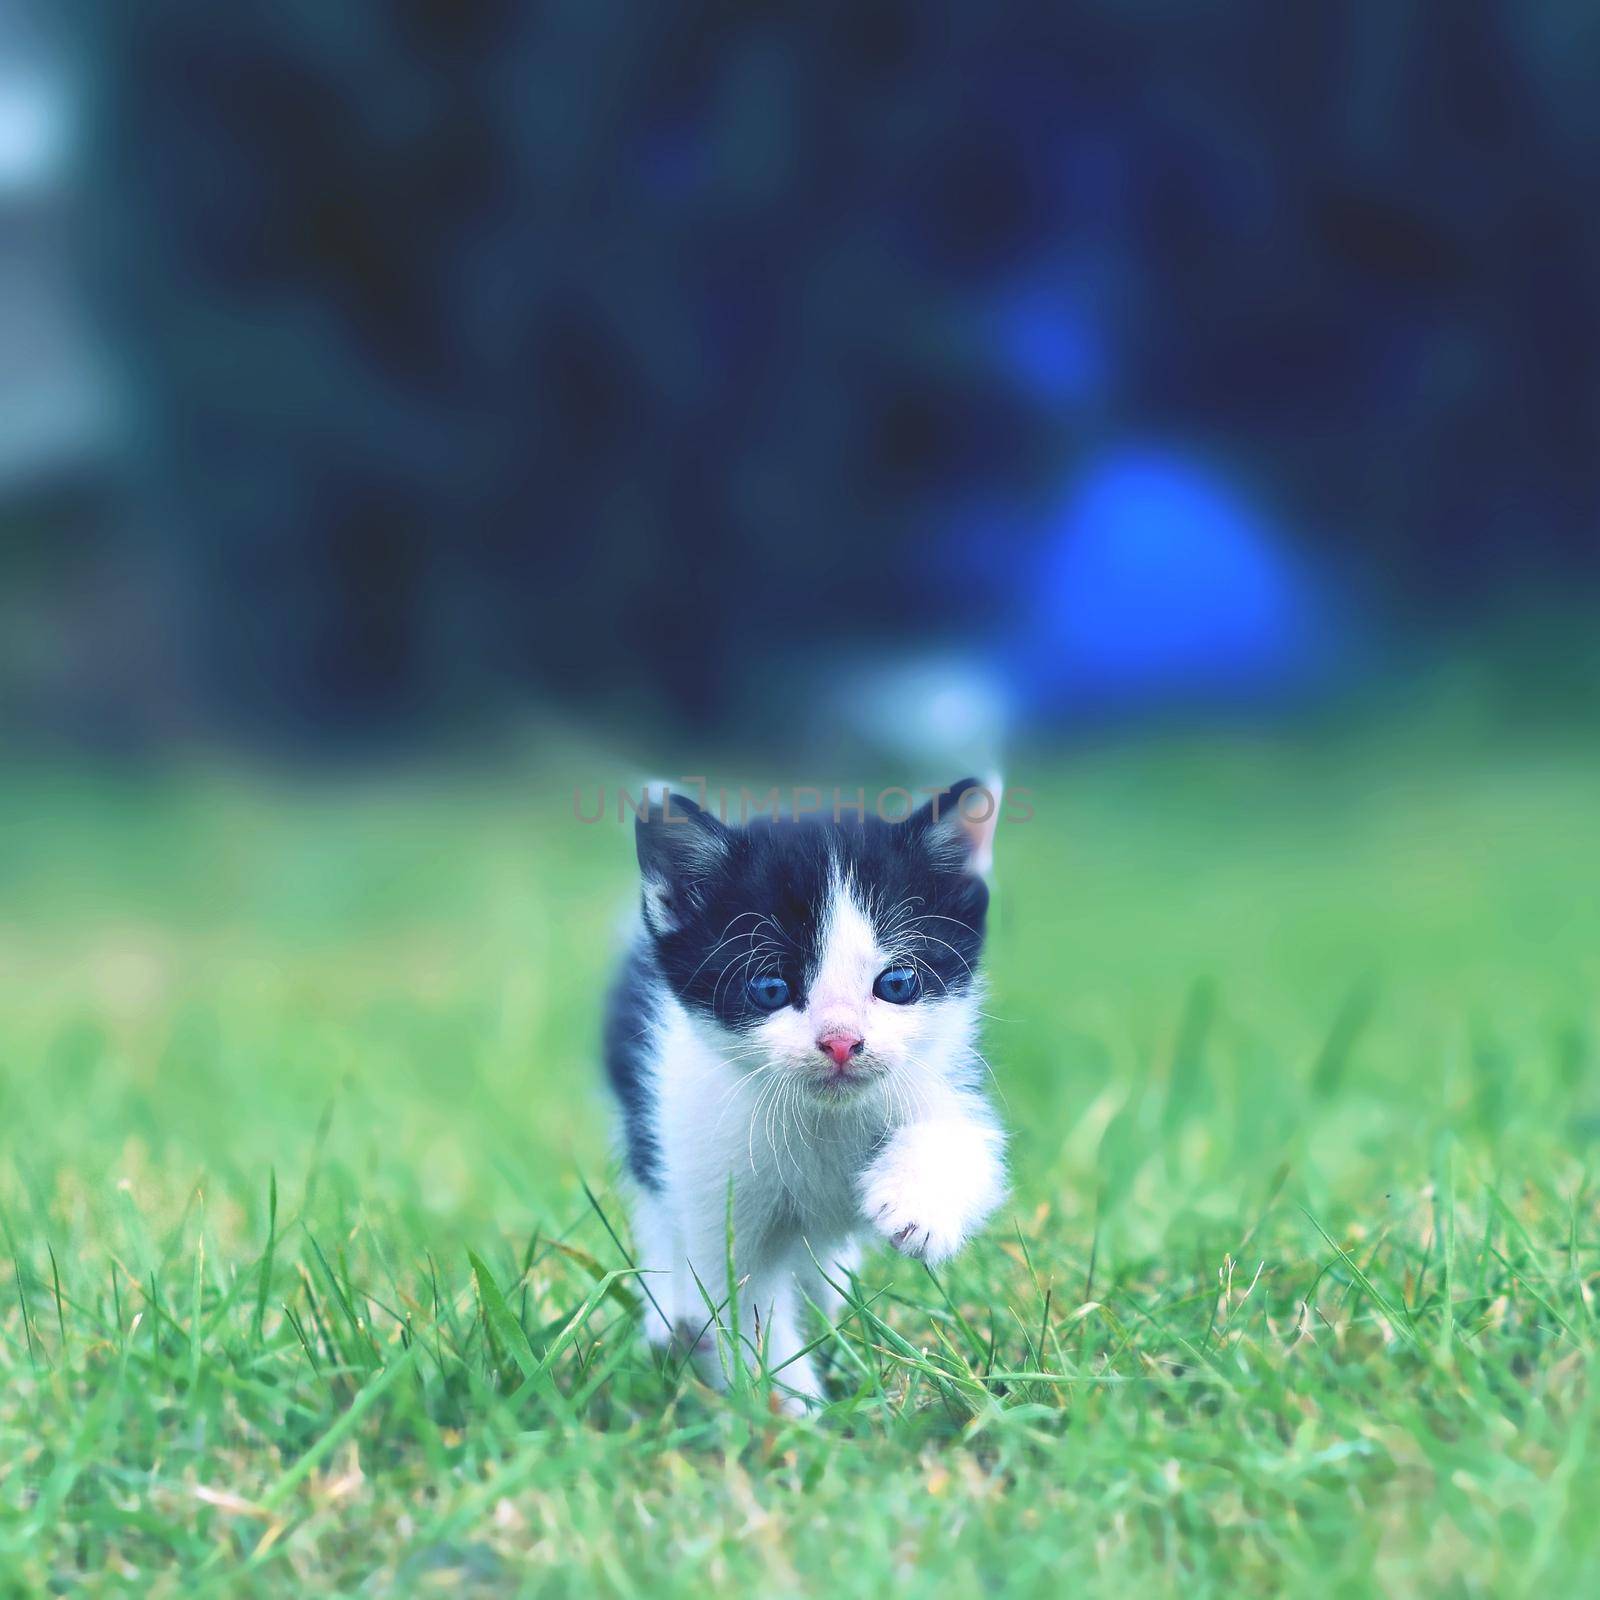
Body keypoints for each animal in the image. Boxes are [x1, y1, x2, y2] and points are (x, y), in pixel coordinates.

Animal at [604, 780, 1004, 1408]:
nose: (841, 1042)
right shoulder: (706, 1158)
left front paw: (919, 1204)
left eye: (897, 984)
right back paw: (670, 1324)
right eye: (769, 988)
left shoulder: (941, 1074)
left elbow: (969, 1142)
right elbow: (738, 1300)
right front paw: (790, 1407)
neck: (823, 1119)